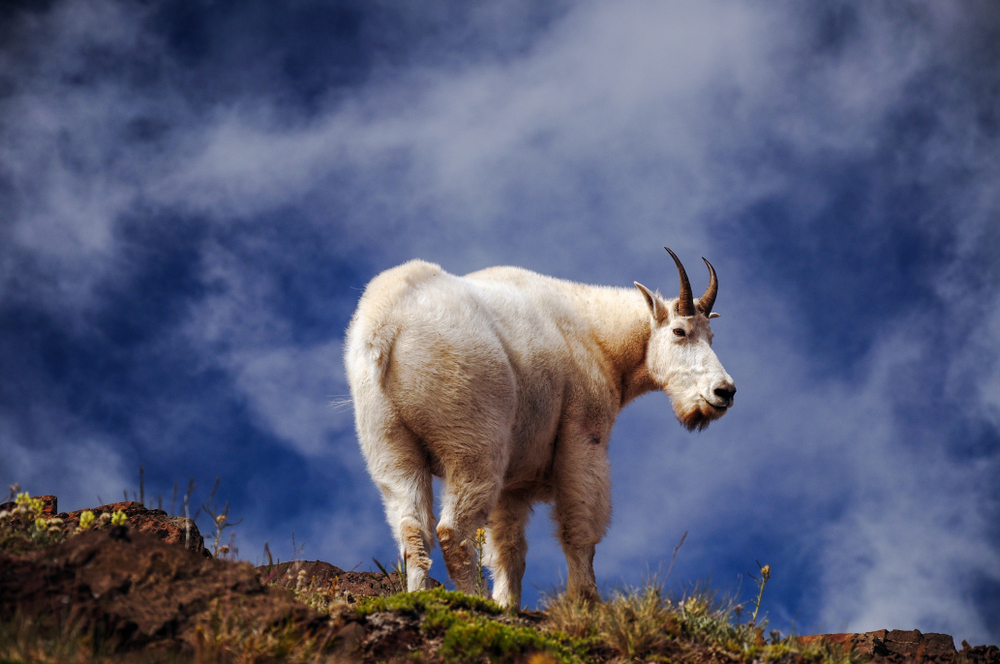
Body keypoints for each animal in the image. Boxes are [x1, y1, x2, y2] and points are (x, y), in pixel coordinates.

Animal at [344, 248, 736, 608]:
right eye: (679, 331)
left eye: (712, 336)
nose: (725, 391)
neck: (598, 337)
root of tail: (385, 325)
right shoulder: (583, 439)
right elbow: (580, 530)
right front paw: (585, 601)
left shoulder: (514, 482)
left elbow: (509, 550)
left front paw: (509, 604)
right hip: (473, 445)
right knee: (453, 531)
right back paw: (475, 602)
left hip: (391, 445)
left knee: (413, 530)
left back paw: (420, 596)